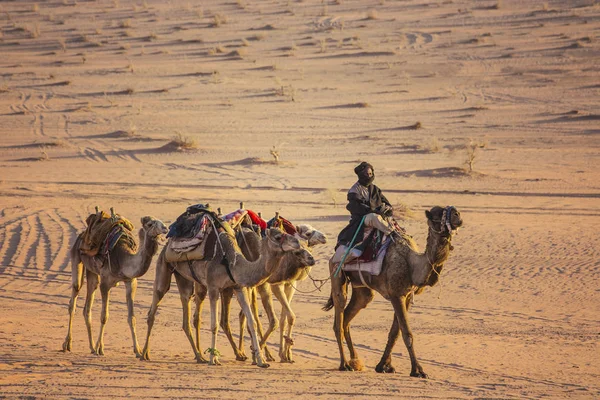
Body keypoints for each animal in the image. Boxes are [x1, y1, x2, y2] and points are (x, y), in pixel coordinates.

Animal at [142, 227, 304, 368]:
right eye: (278, 236)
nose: (298, 243)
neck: (233, 263)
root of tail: (167, 244)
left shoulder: (239, 287)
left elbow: (251, 322)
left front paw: (261, 361)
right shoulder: (213, 287)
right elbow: (214, 324)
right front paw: (214, 359)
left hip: (184, 278)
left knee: (186, 312)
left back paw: (199, 356)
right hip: (164, 265)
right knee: (154, 307)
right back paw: (143, 354)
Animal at [326, 206, 462, 378]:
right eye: (437, 213)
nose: (458, 215)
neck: (412, 264)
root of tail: (334, 254)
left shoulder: (406, 296)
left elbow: (394, 332)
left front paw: (384, 366)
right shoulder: (396, 295)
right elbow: (406, 333)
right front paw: (418, 370)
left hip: (362, 288)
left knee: (349, 316)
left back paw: (355, 361)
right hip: (337, 272)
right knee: (339, 316)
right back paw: (344, 364)